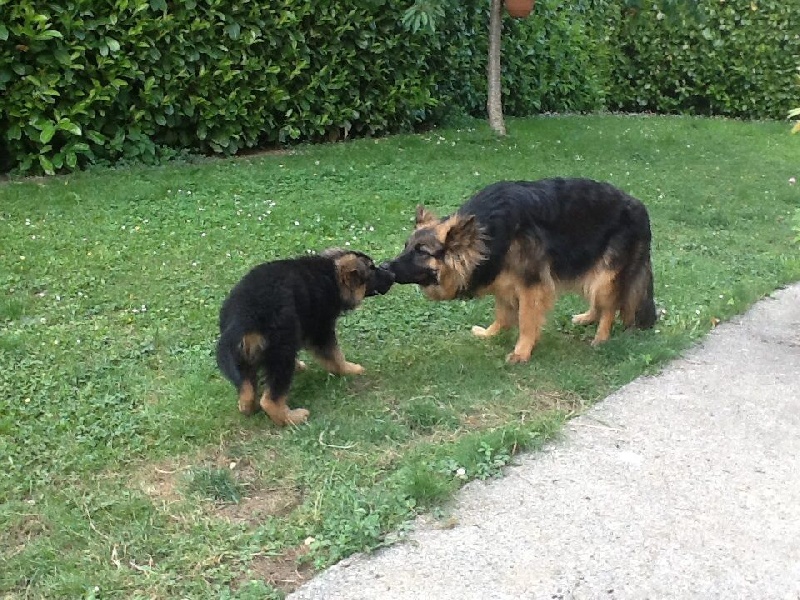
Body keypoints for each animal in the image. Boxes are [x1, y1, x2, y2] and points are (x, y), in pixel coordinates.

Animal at [217, 248, 396, 426]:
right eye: (372, 269)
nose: (393, 275)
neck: (331, 274)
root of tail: (244, 321)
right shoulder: (321, 330)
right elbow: (335, 356)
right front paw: (349, 369)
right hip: (282, 351)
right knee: (270, 400)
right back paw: (293, 417)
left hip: (239, 359)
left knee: (246, 390)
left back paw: (248, 407)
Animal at [386, 178, 656, 364]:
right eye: (406, 247)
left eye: (422, 252)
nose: (386, 267)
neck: (486, 236)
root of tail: (639, 206)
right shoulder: (503, 283)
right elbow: (503, 315)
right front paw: (490, 334)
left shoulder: (531, 287)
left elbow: (526, 321)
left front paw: (522, 352)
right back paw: (587, 317)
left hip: (604, 277)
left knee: (610, 306)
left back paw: (601, 337)